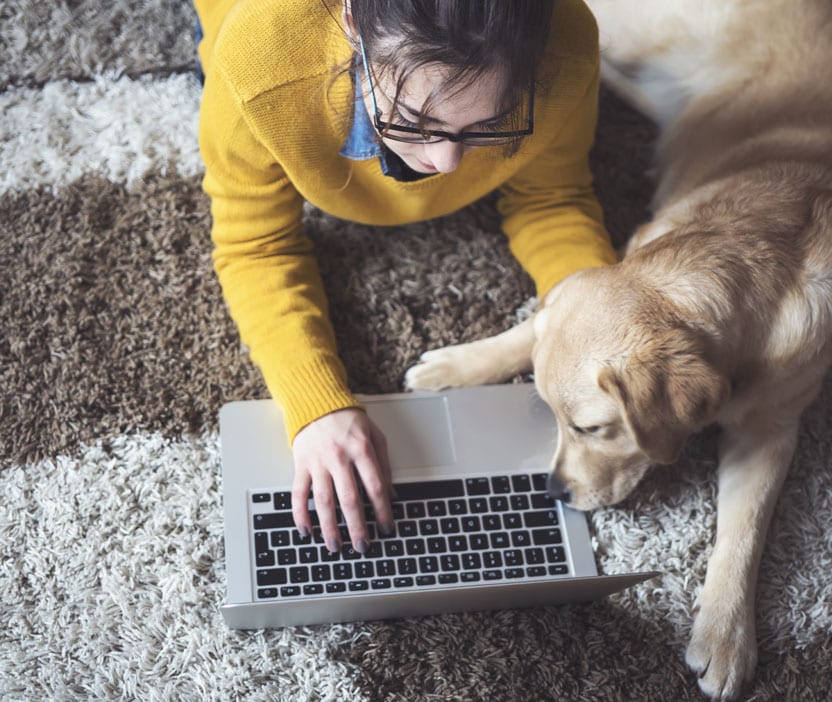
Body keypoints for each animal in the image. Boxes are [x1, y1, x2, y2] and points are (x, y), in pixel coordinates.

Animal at [406, 2, 832, 700]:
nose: (551, 492)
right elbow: (532, 324)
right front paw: (456, 365)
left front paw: (725, 634)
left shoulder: (771, 427)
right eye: (550, 417)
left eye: (590, 428)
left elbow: (744, 530)